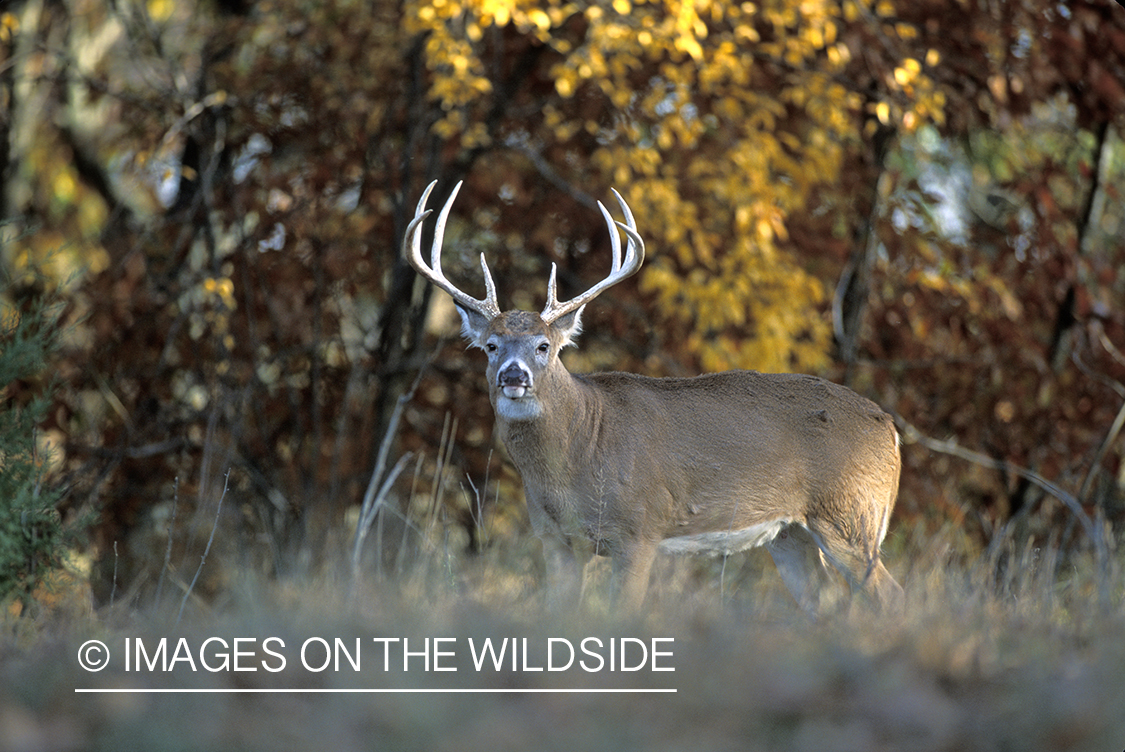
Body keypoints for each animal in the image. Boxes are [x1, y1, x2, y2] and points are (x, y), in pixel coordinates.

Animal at [405, 178, 904, 612]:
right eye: (491, 345)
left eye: (544, 346)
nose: (513, 375)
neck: (581, 448)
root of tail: (890, 428)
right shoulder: (554, 538)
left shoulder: (639, 529)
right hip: (791, 533)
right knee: (826, 602)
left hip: (853, 513)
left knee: (889, 596)